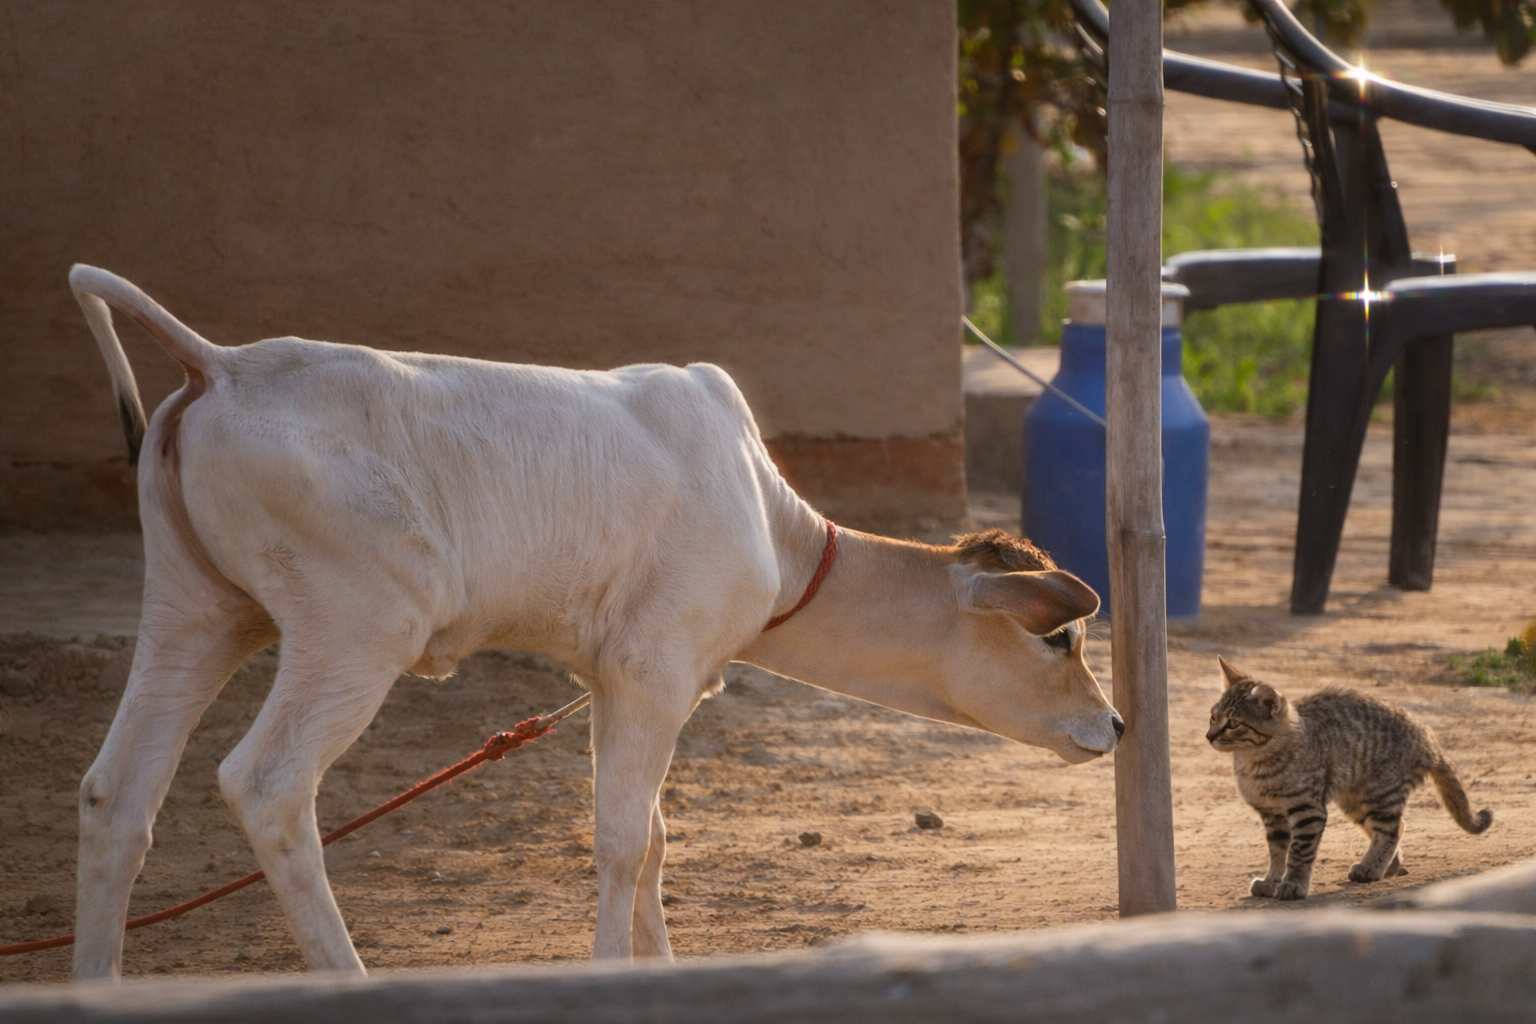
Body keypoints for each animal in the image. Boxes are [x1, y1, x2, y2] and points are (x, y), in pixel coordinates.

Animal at [66, 265, 1121, 979]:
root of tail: (222, 368)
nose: (1111, 723)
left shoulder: (614, 681)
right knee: (267, 785)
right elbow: (620, 839)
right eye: (1058, 638)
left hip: (198, 615)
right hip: (352, 633)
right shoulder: (656, 674)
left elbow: (651, 836)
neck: (768, 524)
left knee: (117, 794)